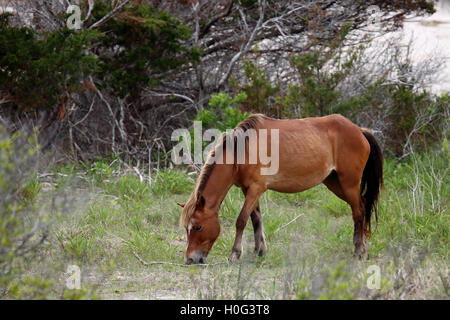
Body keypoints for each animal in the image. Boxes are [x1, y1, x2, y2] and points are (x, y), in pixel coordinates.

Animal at [179, 114, 384, 264]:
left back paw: (359, 251)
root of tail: (360, 131)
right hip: (335, 183)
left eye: (198, 226)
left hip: (349, 184)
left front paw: (235, 254)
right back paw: (363, 249)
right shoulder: (248, 190)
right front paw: (259, 251)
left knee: (358, 212)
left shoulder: (256, 189)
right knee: (362, 207)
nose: (191, 259)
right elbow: (256, 219)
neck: (243, 149)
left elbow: (241, 220)